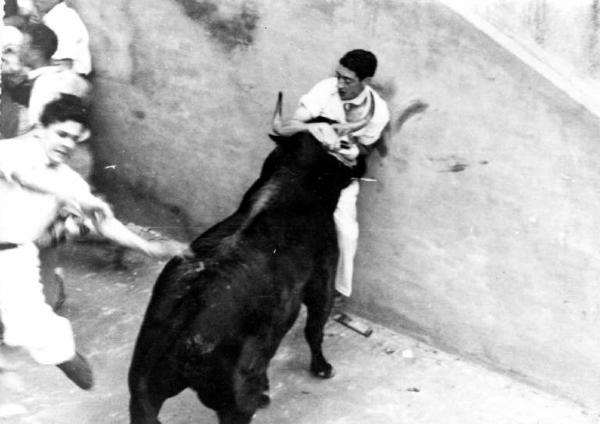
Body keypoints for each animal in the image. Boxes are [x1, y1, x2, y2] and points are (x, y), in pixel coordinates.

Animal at [127, 117, 360, 422]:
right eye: (341, 145)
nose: (358, 167)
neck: (291, 178)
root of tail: (185, 312)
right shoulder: (324, 278)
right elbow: (315, 329)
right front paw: (322, 368)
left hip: (141, 396)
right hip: (235, 404)